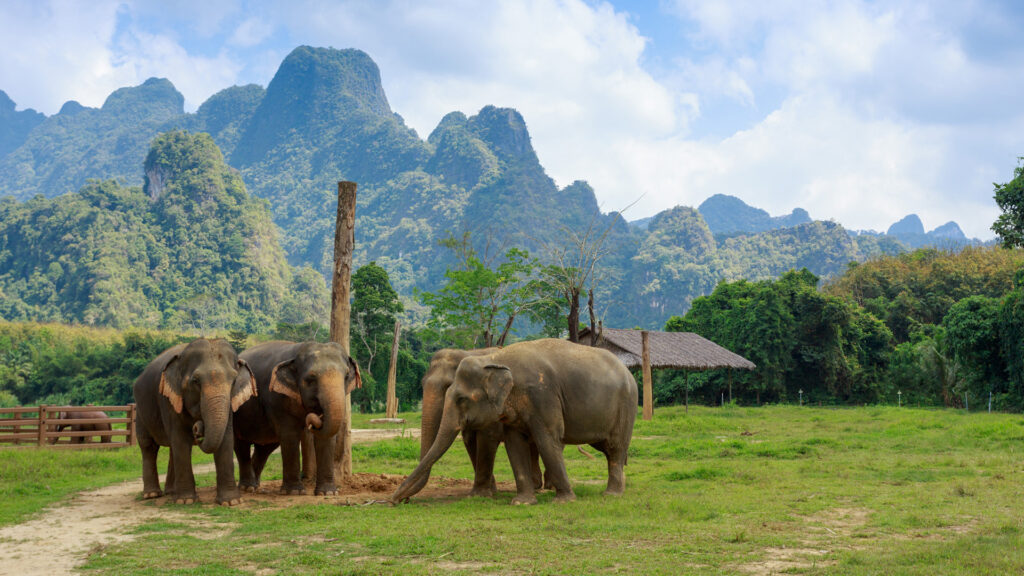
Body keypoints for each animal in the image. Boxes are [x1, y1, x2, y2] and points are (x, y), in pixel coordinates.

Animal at [133, 338, 256, 505]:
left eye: (234, 381)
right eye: (195, 381)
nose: (198, 428)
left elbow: (225, 438)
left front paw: (231, 502)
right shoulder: (169, 400)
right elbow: (180, 439)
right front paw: (186, 501)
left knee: (171, 448)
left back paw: (171, 492)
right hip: (139, 411)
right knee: (148, 446)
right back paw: (152, 495)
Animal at [234, 340, 361, 496]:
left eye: (347, 376)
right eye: (311, 378)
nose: (313, 419)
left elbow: (326, 438)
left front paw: (328, 493)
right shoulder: (277, 397)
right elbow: (290, 435)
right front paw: (294, 491)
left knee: (265, 448)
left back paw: (255, 486)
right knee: (241, 446)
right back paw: (247, 488)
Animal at [392, 338, 638, 505]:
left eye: (460, 398)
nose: (397, 500)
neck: (493, 360)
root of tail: (627, 371)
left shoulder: (542, 395)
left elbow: (543, 437)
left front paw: (564, 500)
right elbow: (511, 443)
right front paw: (517, 500)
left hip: (627, 405)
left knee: (614, 447)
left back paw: (610, 493)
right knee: (603, 447)